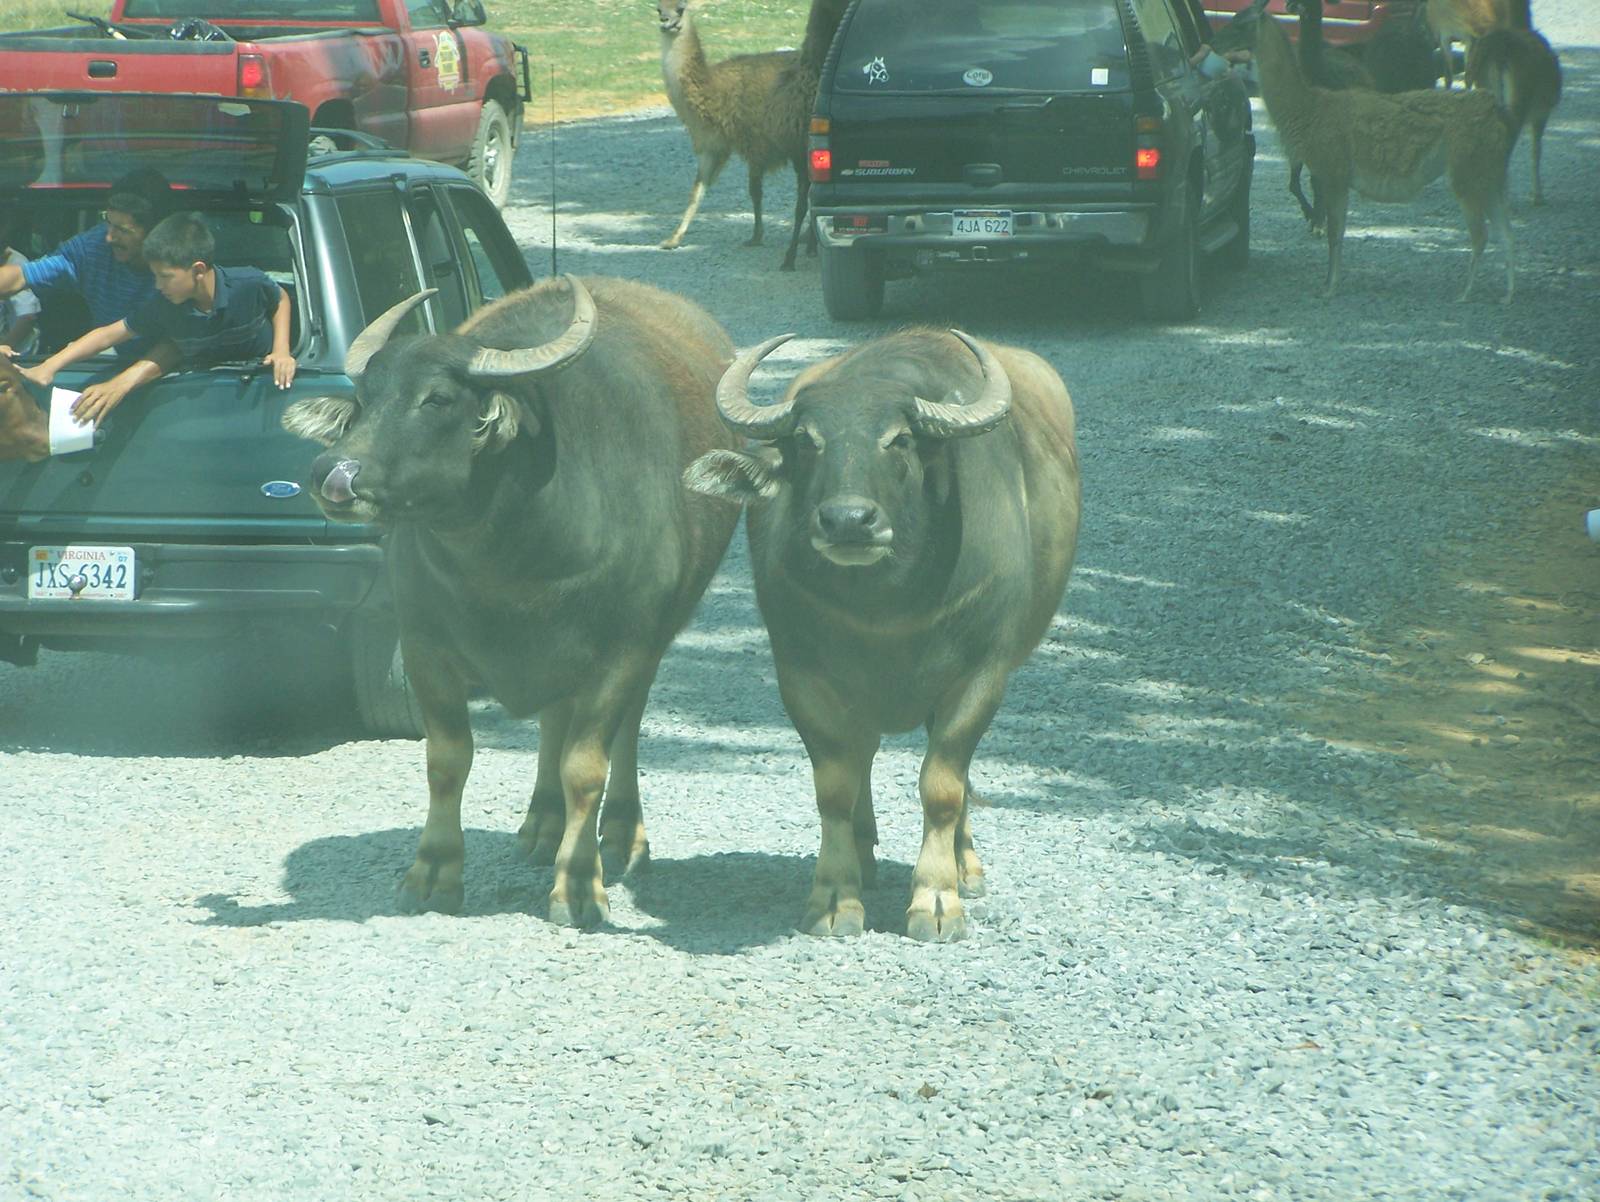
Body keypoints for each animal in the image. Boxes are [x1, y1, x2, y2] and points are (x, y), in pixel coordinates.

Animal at [284, 275, 739, 926]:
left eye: (437, 399)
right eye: (365, 397)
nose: (333, 472)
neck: (512, 565)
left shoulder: (623, 650)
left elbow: (587, 766)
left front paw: (579, 886)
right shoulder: (424, 644)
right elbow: (448, 760)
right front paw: (432, 873)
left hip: (655, 638)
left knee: (625, 731)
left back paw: (622, 836)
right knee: (553, 719)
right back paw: (543, 823)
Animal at [685, 328, 1080, 941]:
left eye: (899, 440)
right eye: (806, 441)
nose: (848, 521)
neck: (887, 610)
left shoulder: (980, 675)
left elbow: (942, 786)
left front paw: (937, 900)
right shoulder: (803, 677)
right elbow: (834, 787)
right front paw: (833, 897)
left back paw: (966, 865)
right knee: (863, 756)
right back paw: (865, 854)